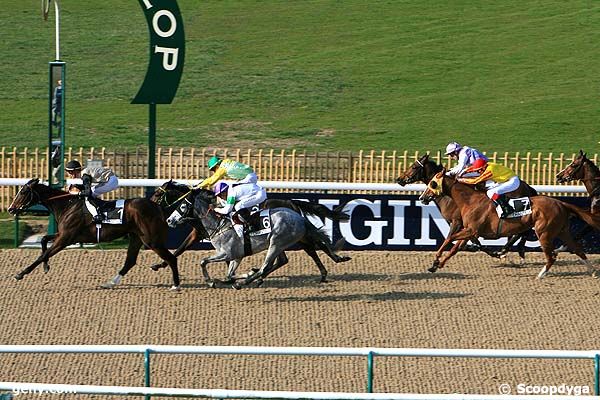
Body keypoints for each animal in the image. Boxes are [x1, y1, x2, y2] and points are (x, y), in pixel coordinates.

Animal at [7, 180, 180, 290]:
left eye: (23, 192)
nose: (10, 209)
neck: (67, 205)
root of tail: (157, 207)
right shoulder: (65, 235)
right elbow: (43, 240)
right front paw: (46, 266)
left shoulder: (65, 238)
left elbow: (42, 255)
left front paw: (20, 274)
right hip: (136, 237)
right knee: (130, 261)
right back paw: (110, 283)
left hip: (151, 240)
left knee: (171, 258)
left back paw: (176, 285)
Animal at [396, 153, 536, 260]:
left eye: (414, 167)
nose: (399, 179)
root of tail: (528, 186)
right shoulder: (466, 224)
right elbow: (472, 240)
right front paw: (481, 249)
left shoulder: (457, 221)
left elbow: (453, 238)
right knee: (521, 232)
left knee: (522, 232)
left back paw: (512, 249)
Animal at [420, 170, 600, 280]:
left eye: (432, 183)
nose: (422, 197)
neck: (470, 201)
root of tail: (561, 203)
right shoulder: (469, 232)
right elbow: (454, 247)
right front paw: (436, 265)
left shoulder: (471, 230)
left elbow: (449, 239)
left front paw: (436, 260)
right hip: (562, 231)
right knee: (577, 249)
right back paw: (592, 271)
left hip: (544, 233)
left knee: (551, 256)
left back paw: (540, 274)